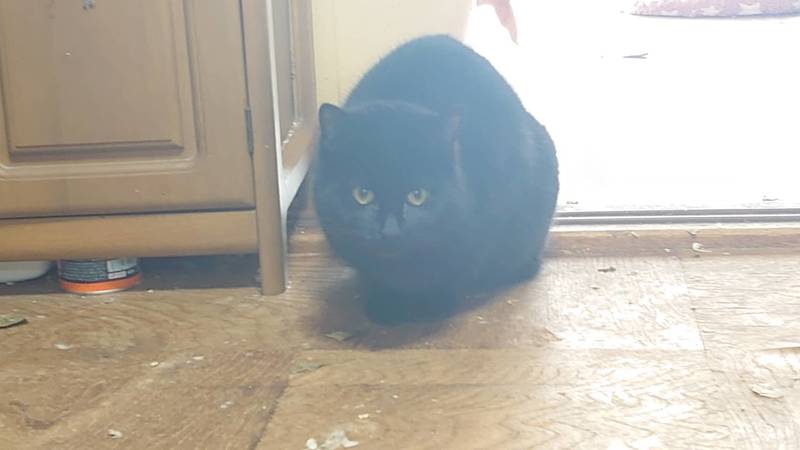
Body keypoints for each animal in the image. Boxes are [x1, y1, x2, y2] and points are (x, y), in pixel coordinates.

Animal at [313, 35, 559, 323]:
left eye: (417, 196)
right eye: (362, 194)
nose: (390, 230)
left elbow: (453, 271)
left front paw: (433, 305)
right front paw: (382, 303)